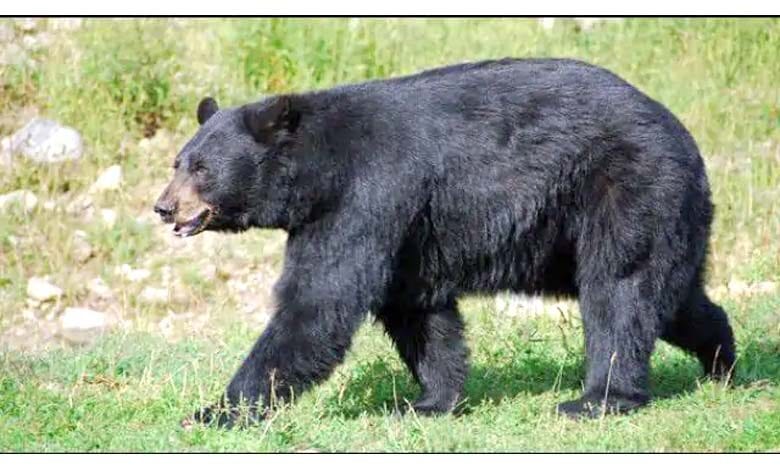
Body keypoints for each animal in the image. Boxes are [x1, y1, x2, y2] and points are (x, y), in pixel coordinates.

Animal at [154, 58, 736, 427]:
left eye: (202, 169)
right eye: (178, 162)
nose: (163, 207)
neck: (319, 172)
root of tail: (684, 137)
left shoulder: (367, 196)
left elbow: (318, 306)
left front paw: (212, 413)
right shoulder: (405, 231)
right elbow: (418, 313)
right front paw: (431, 400)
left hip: (627, 188)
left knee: (619, 290)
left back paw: (598, 399)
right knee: (672, 297)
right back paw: (722, 361)